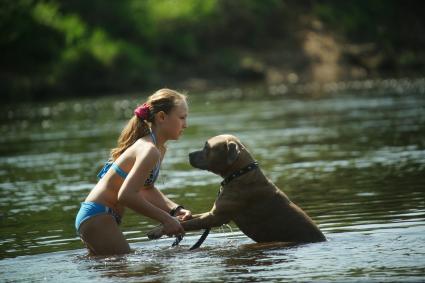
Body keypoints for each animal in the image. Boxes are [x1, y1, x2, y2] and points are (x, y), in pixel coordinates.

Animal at [147, 135, 326, 246]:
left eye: (207, 147)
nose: (189, 154)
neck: (239, 174)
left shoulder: (216, 217)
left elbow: (189, 223)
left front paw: (158, 231)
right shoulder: (212, 212)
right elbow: (186, 219)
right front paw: (161, 226)